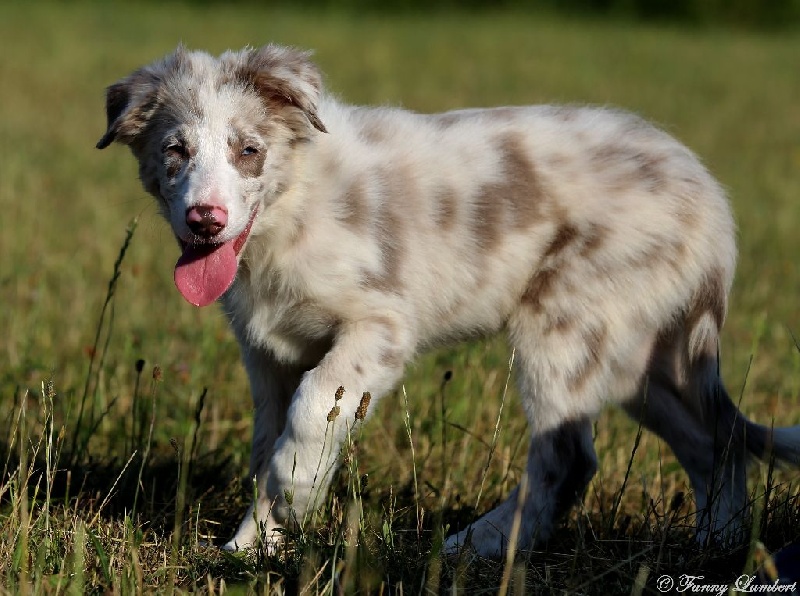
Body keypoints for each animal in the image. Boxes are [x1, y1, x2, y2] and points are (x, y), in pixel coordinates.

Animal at [97, 44, 800, 557]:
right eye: (175, 151)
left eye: (250, 151)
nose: (205, 220)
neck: (290, 208)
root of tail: (710, 201)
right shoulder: (269, 355)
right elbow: (268, 443)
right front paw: (252, 548)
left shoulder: (380, 327)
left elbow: (314, 407)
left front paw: (297, 490)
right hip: (641, 356)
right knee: (714, 442)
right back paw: (717, 544)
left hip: (567, 327)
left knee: (569, 456)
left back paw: (478, 546)